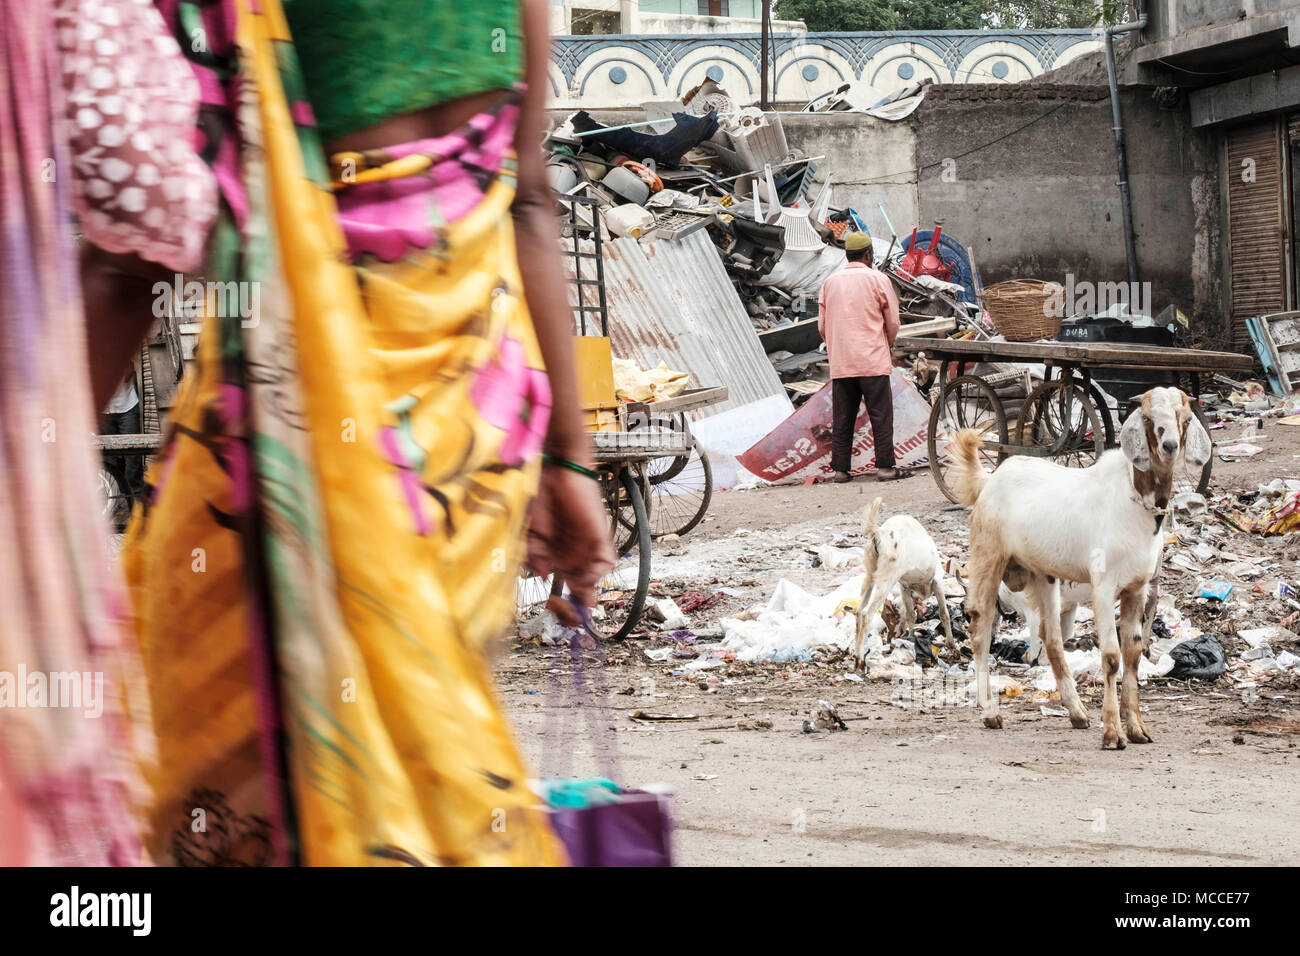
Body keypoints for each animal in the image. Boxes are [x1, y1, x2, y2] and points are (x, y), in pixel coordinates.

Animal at [852, 496, 956, 671]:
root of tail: (879, 533)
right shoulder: (937, 581)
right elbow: (944, 613)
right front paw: (952, 644)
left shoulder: (904, 587)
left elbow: (910, 615)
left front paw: (912, 639)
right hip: (887, 578)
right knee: (867, 614)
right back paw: (860, 660)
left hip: (870, 574)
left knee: (859, 611)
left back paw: (855, 655)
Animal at [951, 385, 1211, 749]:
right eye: (1147, 418)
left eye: (1185, 418)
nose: (1170, 445)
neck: (1134, 501)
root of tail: (989, 480)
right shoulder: (1103, 586)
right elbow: (1111, 657)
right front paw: (1113, 733)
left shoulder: (1137, 587)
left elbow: (1132, 654)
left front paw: (1137, 728)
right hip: (988, 555)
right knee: (980, 629)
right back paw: (989, 711)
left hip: (1043, 574)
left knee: (1051, 638)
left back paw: (1076, 712)